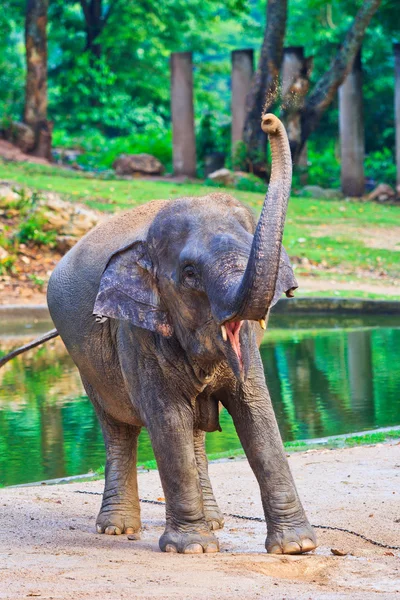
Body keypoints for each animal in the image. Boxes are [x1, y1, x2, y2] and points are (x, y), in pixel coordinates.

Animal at [46, 115, 316, 556]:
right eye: (189, 274)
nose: (268, 119)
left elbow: (257, 414)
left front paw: (296, 547)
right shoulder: (136, 333)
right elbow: (168, 419)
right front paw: (193, 548)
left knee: (196, 431)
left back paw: (214, 520)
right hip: (86, 364)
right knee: (119, 429)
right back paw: (117, 529)